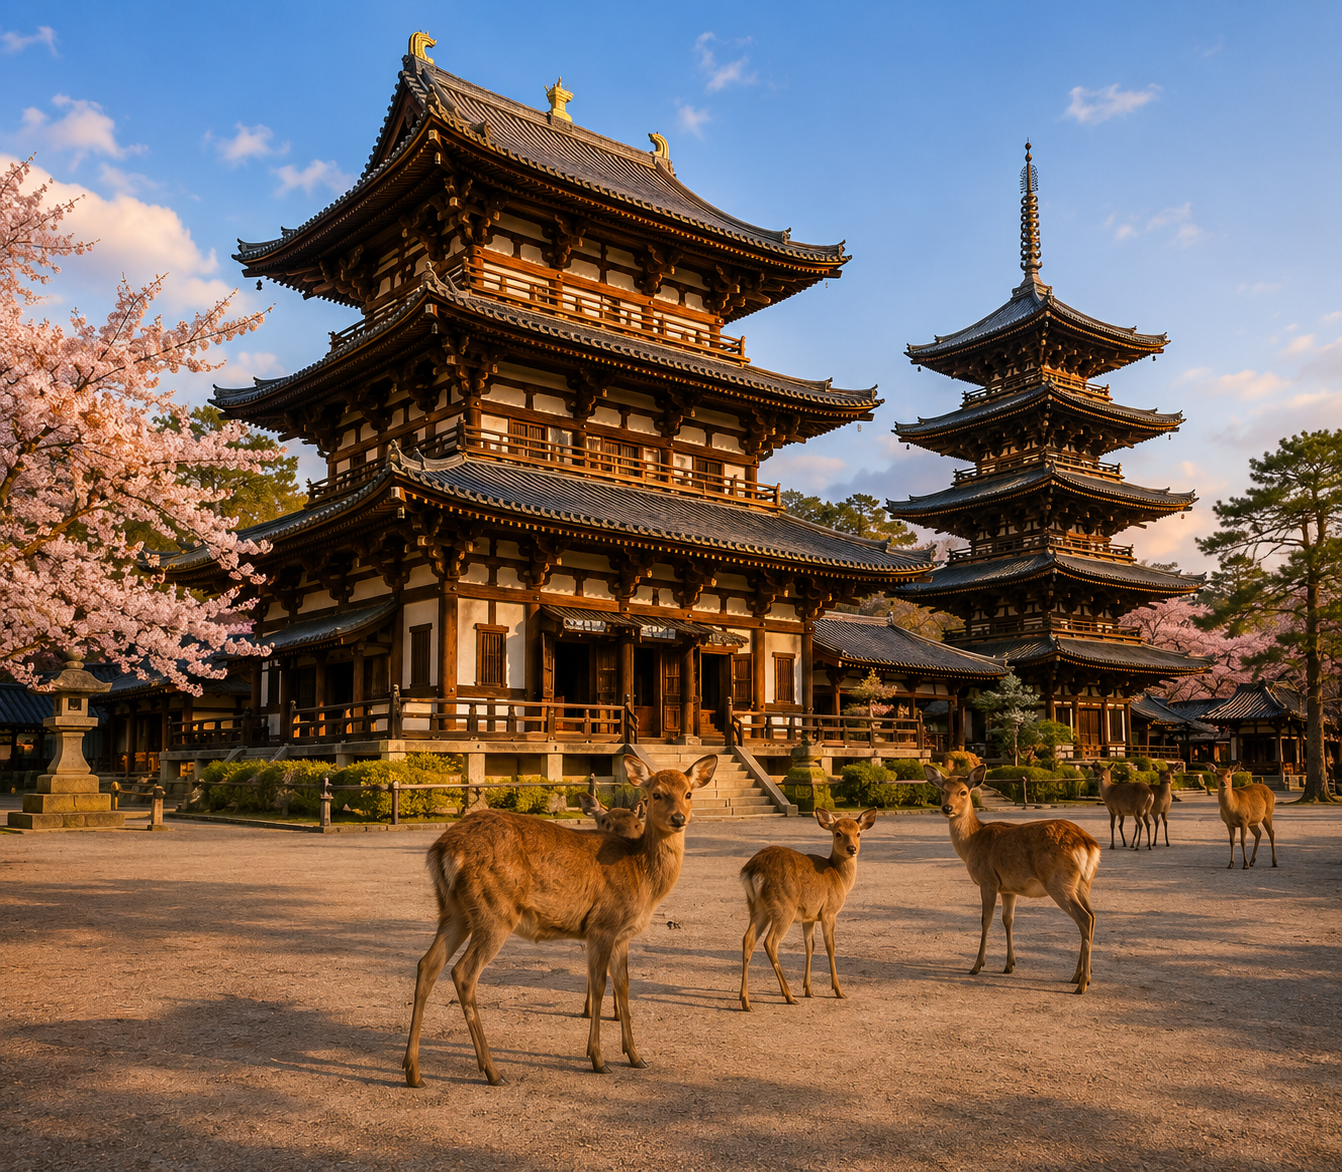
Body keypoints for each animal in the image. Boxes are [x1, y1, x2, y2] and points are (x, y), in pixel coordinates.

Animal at [402, 754, 715, 1087]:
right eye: (656, 794)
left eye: (688, 794)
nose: (679, 818)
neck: (641, 874)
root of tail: (442, 851)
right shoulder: (603, 924)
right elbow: (599, 984)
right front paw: (598, 1059)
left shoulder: (622, 935)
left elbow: (624, 985)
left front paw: (636, 1056)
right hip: (495, 912)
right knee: (463, 973)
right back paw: (492, 1071)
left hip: (454, 911)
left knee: (427, 964)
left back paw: (413, 1071)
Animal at [738, 808, 879, 1012]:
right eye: (838, 833)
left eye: (858, 833)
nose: (852, 849)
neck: (839, 877)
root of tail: (752, 871)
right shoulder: (829, 912)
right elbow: (830, 946)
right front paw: (838, 991)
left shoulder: (809, 917)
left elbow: (809, 946)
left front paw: (808, 990)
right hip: (783, 908)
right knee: (770, 942)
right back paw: (788, 996)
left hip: (757, 908)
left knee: (747, 939)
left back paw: (745, 1001)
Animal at [924, 764, 1100, 993]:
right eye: (942, 790)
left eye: (963, 792)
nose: (947, 808)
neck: (972, 841)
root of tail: (1089, 845)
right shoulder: (1008, 888)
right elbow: (1008, 920)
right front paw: (1009, 965)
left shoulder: (988, 881)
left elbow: (986, 920)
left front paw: (976, 966)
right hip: (1083, 884)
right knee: (1092, 916)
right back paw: (1078, 976)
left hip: (1058, 883)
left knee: (1084, 918)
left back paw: (1082, 983)